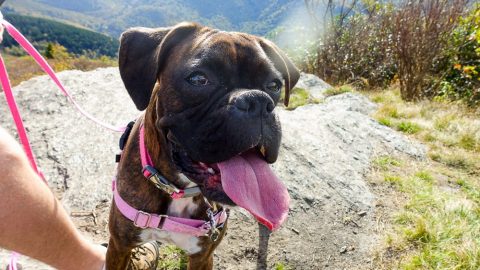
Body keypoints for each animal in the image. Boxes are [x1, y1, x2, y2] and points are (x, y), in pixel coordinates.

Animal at [107, 22, 298, 268]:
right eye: (199, 79)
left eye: (274, 85)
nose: (257, 100)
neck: (179, 190)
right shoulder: (119, 246)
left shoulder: (203, 256)